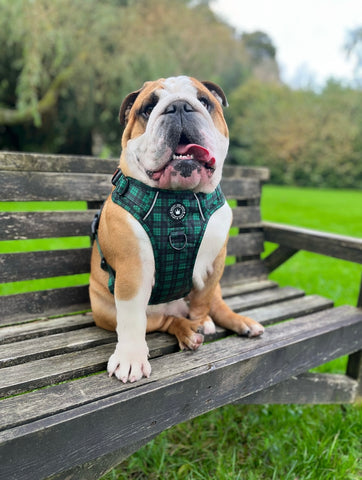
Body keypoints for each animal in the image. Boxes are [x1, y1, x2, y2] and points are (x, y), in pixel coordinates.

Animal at [87, 76, 264, 382]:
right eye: (148, 109)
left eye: (204, 101)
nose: (180, 107)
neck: (178, 200)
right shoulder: (132, 272)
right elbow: (132, 319)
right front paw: (130, 358)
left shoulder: (215, 264)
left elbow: (203, 299)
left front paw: (202, 320)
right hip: (107, 310)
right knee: (162, 320)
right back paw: (187, 332)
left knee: (216, 305)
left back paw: (239, 323)